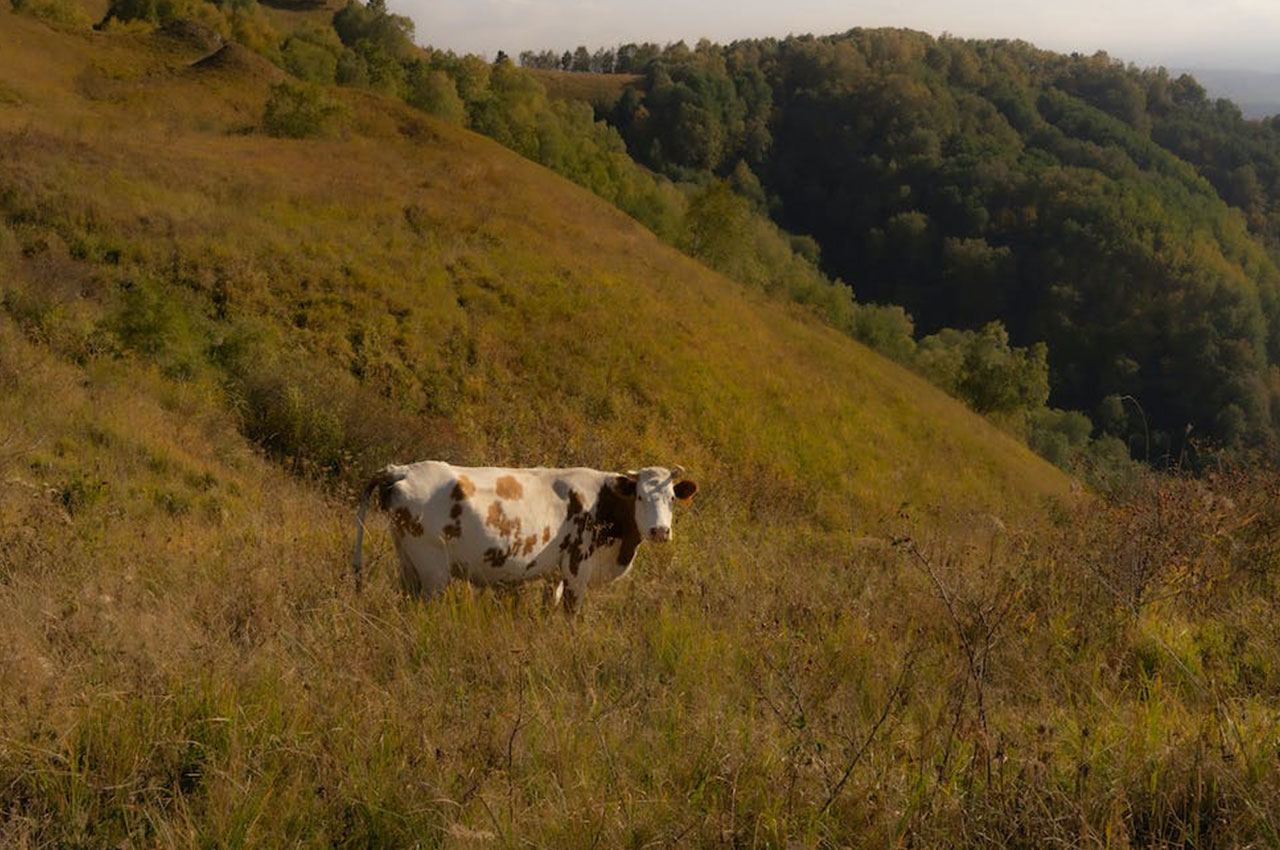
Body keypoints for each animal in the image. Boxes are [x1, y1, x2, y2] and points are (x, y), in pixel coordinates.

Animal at [353, 460, 701, 614]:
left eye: (672, 498)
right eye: (640, 497)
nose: (660, 531)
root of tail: (403, 469)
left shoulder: (555, 574)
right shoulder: (577, 567)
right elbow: (571, 615)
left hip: (407, 559)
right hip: (432, 567)